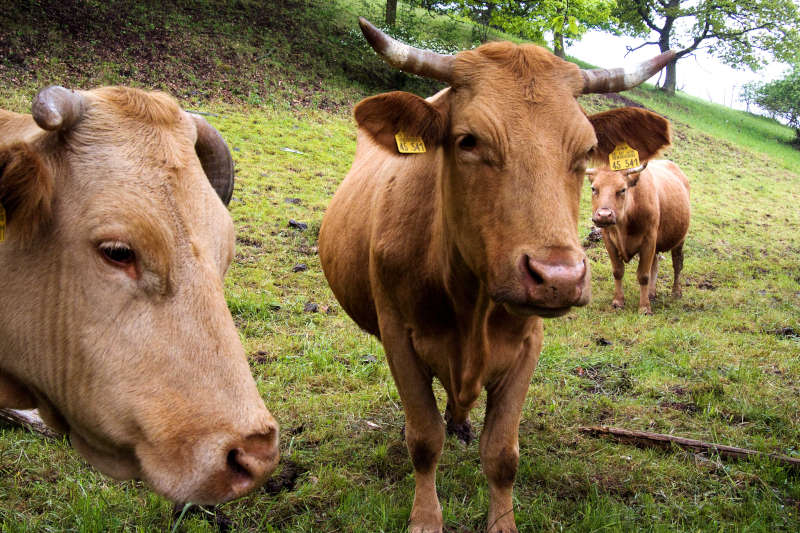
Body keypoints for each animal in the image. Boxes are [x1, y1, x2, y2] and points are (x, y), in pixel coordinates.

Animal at [318, 17, 676, 532]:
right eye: (469, 140)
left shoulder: (528, 344)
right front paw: (425, 518)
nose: (558, 276)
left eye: (588, 148)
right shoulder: (397, 336)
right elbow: (423, 439)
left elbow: (502, 453)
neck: (472, 302)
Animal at [584, 156, 692, 314]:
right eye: (594, 188)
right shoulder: (608, 240)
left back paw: (676, 292)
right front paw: (618, 301)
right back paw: (651, 293)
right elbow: (618, 271)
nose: (604, 215)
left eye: (622, 189)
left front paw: (644, 307)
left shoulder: (649, 240)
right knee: (655, 263)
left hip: (679, 239)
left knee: (677, 263)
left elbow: (643, 275)